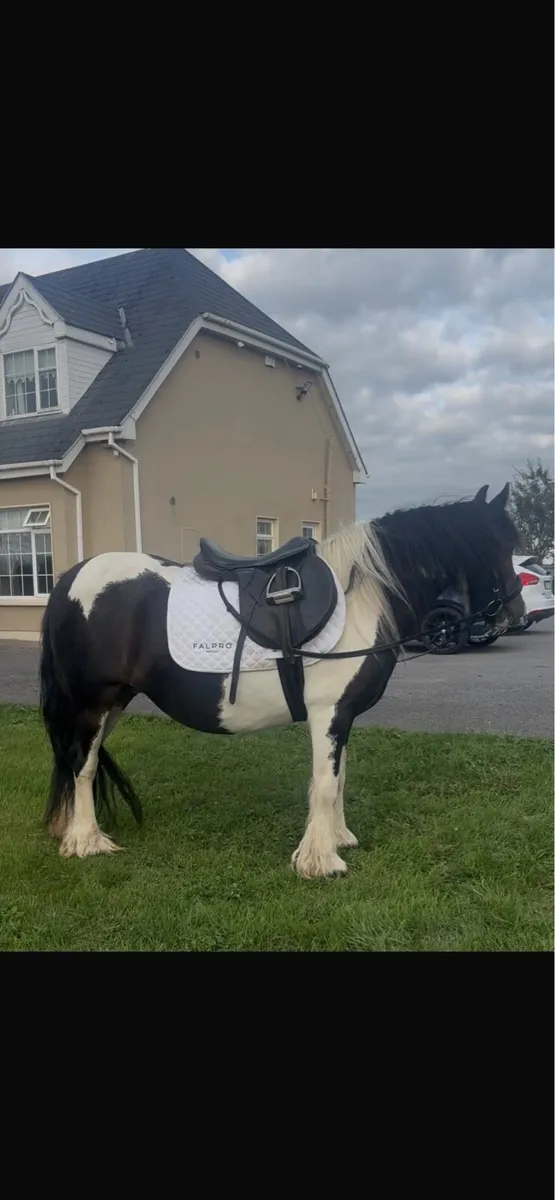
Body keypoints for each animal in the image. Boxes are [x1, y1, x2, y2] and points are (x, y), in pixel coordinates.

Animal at [38, 482, 524, 879]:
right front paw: (320, 862)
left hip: (114, 704)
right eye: (499, 544)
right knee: (82, 765)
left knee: (76, 760)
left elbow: (338, 778)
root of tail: (68, 580)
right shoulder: (328, 712)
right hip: (94, 703)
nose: (514, 613)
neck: (361, 600)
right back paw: (87, 842)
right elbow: (325, 784)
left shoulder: (342, 715)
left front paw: (338, 839)